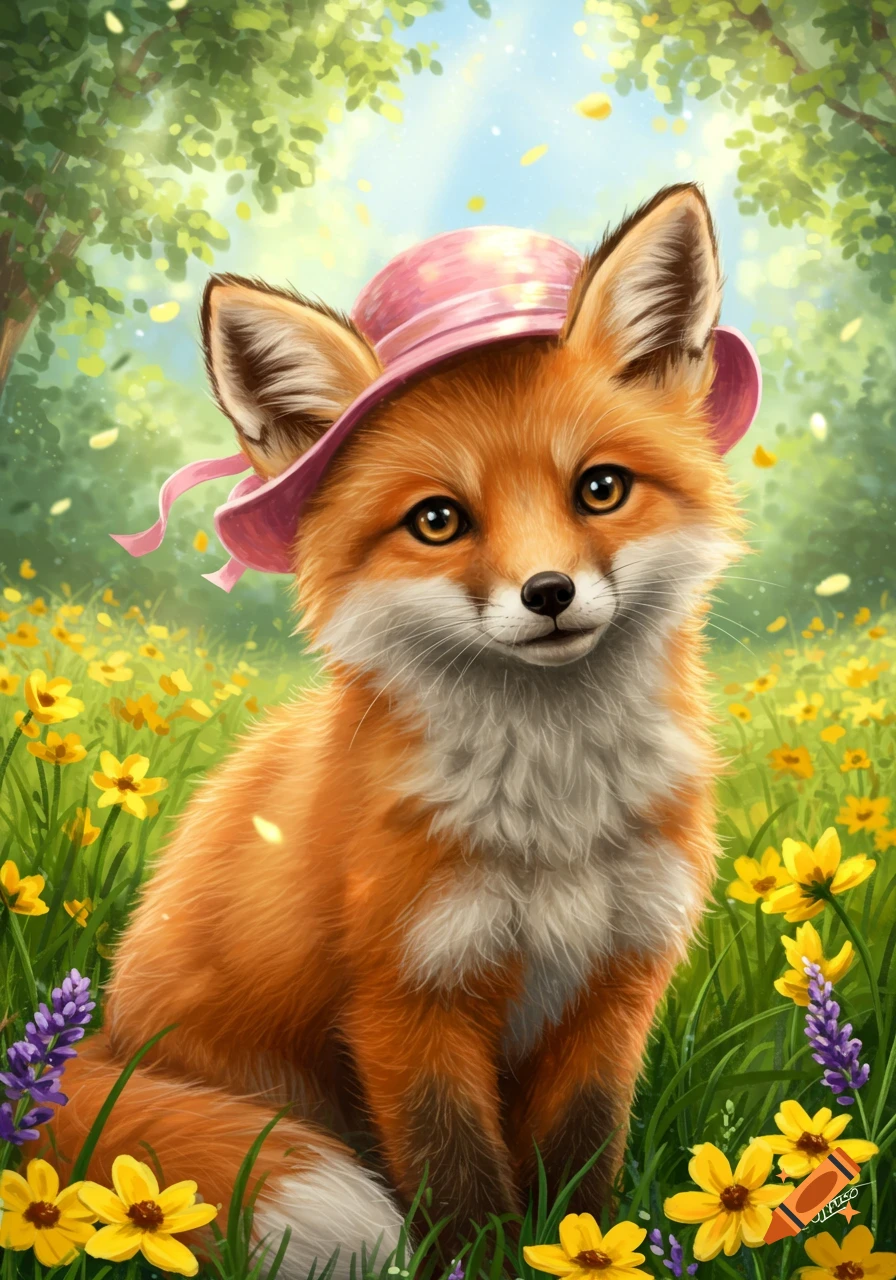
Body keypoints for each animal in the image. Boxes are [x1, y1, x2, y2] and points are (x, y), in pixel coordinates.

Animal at [38, 183, 746, 1278]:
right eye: (438, 520)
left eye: (600, 488)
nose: (549, 593)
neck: (553, 813)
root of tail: (101, 1041)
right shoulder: (407, 1000)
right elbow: (462, 1187)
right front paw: (481, 1260)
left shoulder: (614, 987)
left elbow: (580, 1168)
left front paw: (590, 1244)